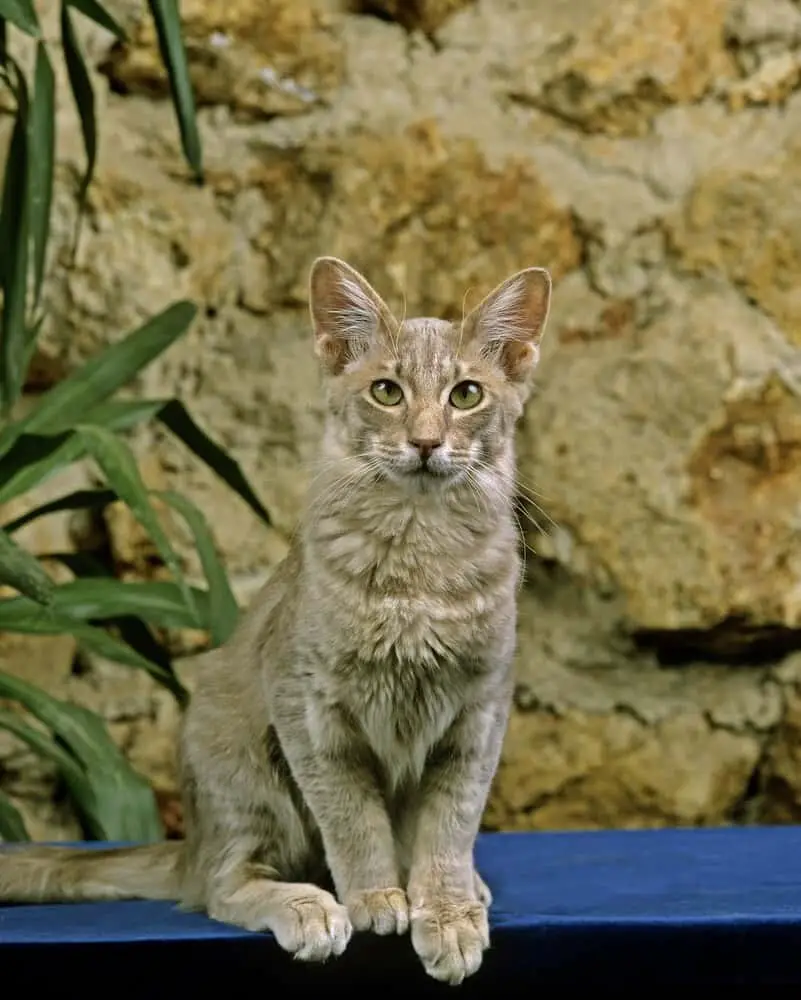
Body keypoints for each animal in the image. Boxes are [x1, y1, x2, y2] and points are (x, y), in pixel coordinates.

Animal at [0, 256, 552, 984]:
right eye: (387, 392)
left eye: (465, 395)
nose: (426, 441)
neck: (417, 571)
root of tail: (192, 842)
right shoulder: (310, 708)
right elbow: (354, 820)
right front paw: (377, 897)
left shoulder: (478, 713)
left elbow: (447, 829)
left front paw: (446, 910)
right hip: (245, 772)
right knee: (222, 886)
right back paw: (309, 905)